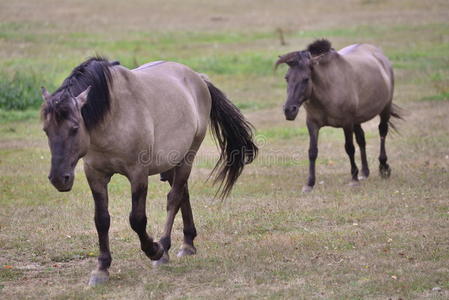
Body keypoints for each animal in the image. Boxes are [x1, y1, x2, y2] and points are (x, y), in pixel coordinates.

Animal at [40, 56, 258, 286]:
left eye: (74, 128)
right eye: (46, 130)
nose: (59, 178)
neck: (112, 115)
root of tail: (198, 78)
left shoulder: (138, 174)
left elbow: (137, 219)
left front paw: (154, 250)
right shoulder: (95, 175)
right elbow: (101, 220)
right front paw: (101, 268)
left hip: (187, 157)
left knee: (174, 198)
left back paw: (165, 248)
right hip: (172, 163)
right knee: (183, 195)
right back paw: (188, 243)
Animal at [274, 39, 400, 192]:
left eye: (306, 79)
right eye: (286, 78)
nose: (289, 110)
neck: (328, 89)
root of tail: (380, 56)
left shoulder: (347, 123)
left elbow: (349, 148)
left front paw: (354, 178)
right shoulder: (312, 123)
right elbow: (312, 151)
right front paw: (309, 183)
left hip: (384, 109)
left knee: (382, 132)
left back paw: (383, 168)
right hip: (357, 120)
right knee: (361, 139)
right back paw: (364, 172)